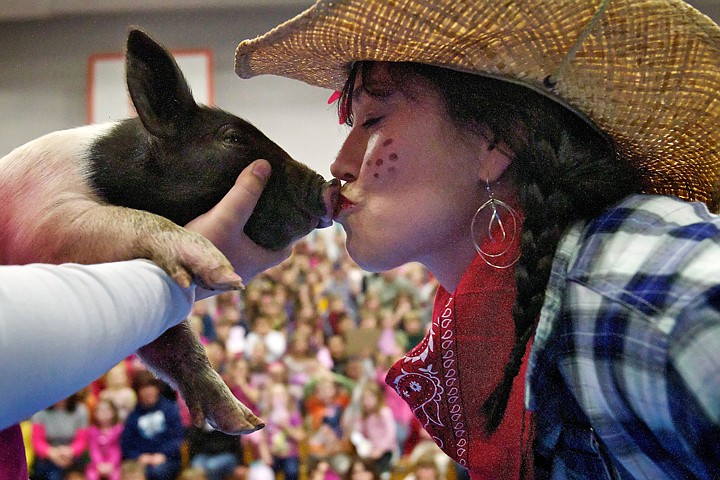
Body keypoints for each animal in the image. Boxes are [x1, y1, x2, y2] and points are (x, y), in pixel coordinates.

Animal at [0, 30, 340, 436]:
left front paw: (245, 423)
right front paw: (224, 275)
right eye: (232, 138)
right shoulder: (49, 220)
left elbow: (173, 339)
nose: (326, 185)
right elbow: (133, 220)